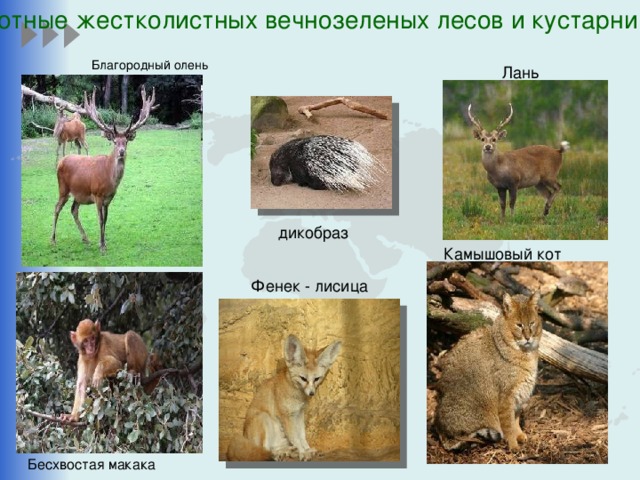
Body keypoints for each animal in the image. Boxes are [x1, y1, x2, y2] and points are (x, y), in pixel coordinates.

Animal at [51, 86, 156, 253]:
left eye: (126, 141)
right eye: (115, 141)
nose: (121, 152)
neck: (109, 179)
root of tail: (61, 162)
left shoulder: (109, 198)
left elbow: (106, 220)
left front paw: (104, 242)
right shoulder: (97, 195)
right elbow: (100, 219)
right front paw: (101, 246)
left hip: (78, 193)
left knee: (74, 210)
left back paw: (85, 238)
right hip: (63, 188)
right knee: (56, 208)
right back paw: (53, 239)